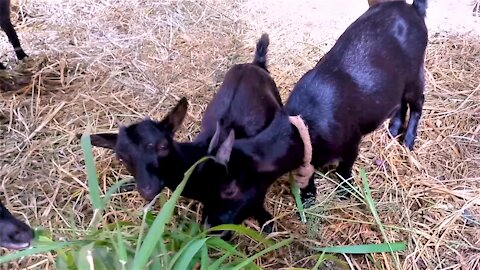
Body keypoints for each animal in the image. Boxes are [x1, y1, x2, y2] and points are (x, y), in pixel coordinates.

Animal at [199, 0, 428, 231]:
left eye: (230, 192)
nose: (208, 226)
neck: (307, 124)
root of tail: (411, 7)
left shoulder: (351, 143)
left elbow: (344, 168)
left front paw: (345, 190)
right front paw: (308, 196)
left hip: (415, 72)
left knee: (417, 102)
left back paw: (408, 140)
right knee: (400, 101)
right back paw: (394, 128)